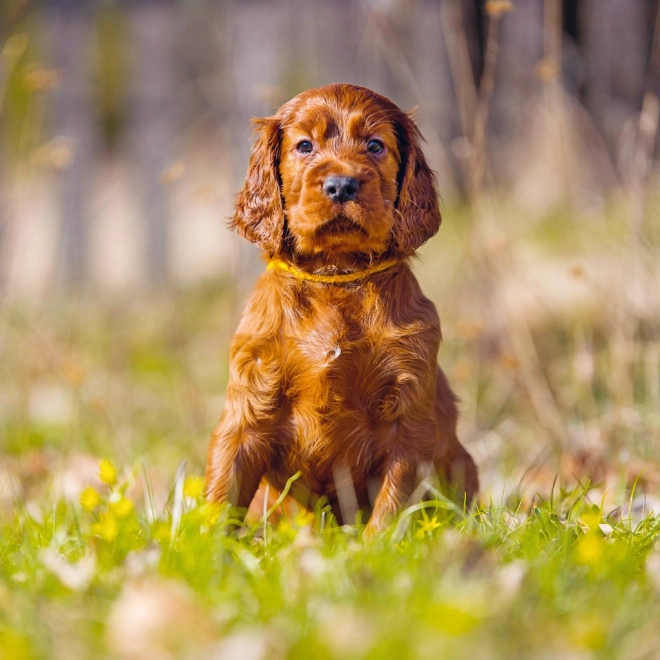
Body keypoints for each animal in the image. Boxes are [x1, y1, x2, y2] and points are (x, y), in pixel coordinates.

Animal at [204, 84, 476, 536]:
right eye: (304, 146)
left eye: (375, 145)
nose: (341, 185)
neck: (337, 277)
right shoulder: (248, 408)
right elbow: (221, 493)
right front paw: (203, 547)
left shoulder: (408, 419)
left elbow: (391, 506)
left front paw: (376, 548)